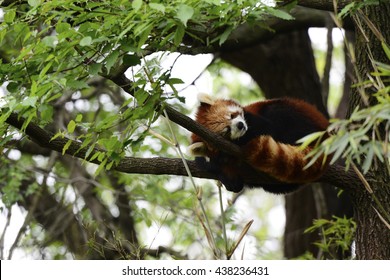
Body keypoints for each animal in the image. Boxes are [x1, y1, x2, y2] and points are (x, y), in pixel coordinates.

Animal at [190, 93, 330, 194]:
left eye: (232, 115)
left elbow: (267, 128)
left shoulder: (253, 119)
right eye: (226, 131)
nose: (240, 125)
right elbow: (232, 182)